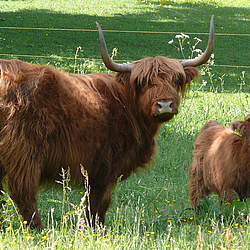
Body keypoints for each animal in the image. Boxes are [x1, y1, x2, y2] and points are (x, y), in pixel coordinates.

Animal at [0, 16, 214, 229]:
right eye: (143, 82)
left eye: (176, 80)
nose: (165, 105)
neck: (126, 103)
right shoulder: (105, 166)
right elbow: (99, 202)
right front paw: (95, 228)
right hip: (26, 150)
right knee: (23, 190)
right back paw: (38, 228)